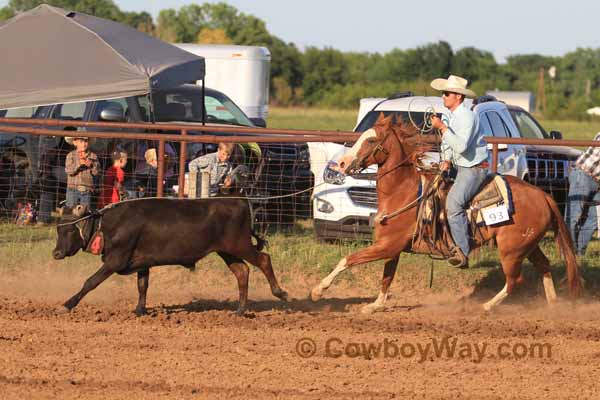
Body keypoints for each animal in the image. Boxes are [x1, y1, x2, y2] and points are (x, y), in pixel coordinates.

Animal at [310, 114, 580, 314]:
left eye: (369, 141)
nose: (341, 164)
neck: (402, 190)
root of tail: (543, 195)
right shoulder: (391, 247)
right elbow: (387, 276)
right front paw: (375, 305)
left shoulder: (388, 245)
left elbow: (348, 260)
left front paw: (317, 291)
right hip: (528, 244)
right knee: (543, 266)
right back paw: (554, 305)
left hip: (511, 250)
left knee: (515, 280)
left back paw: (485, 306)